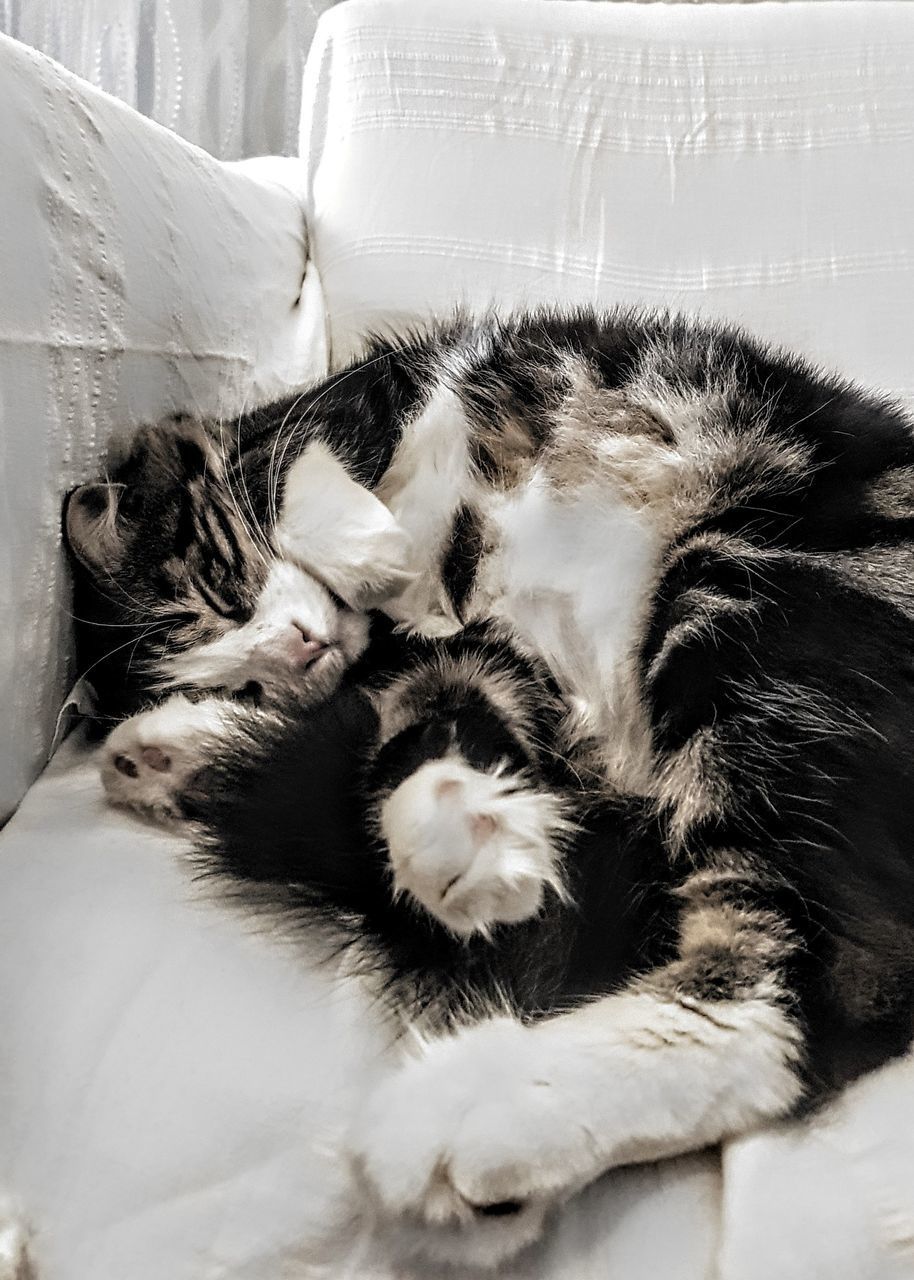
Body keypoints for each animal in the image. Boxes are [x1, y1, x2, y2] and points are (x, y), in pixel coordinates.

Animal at [62, 304, 911, 1264]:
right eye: (242, 681)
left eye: (220, 589)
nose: (301, 653)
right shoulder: (463, 659)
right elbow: (424, 722)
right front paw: (460, 833)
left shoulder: (364, 397)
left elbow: (316, 464)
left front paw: (367, 547)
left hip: (751, 586)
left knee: (828, 977)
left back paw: (470, 1117)